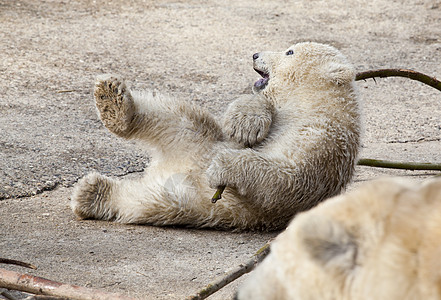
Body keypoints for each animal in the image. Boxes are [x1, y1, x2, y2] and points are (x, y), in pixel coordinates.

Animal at [70, 41, 360, 231]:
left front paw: (223, 166)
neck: (313, 106)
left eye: (290, 51)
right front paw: (245, 122)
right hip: (198, 140)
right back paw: (112, 101)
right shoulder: (282, 111)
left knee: (148, 201)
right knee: (175, 116)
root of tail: (165, 166)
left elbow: (289, 178)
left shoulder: (326, 144)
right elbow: (255, 106)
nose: (255, 54)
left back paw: (93, 192)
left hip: (195, 201)